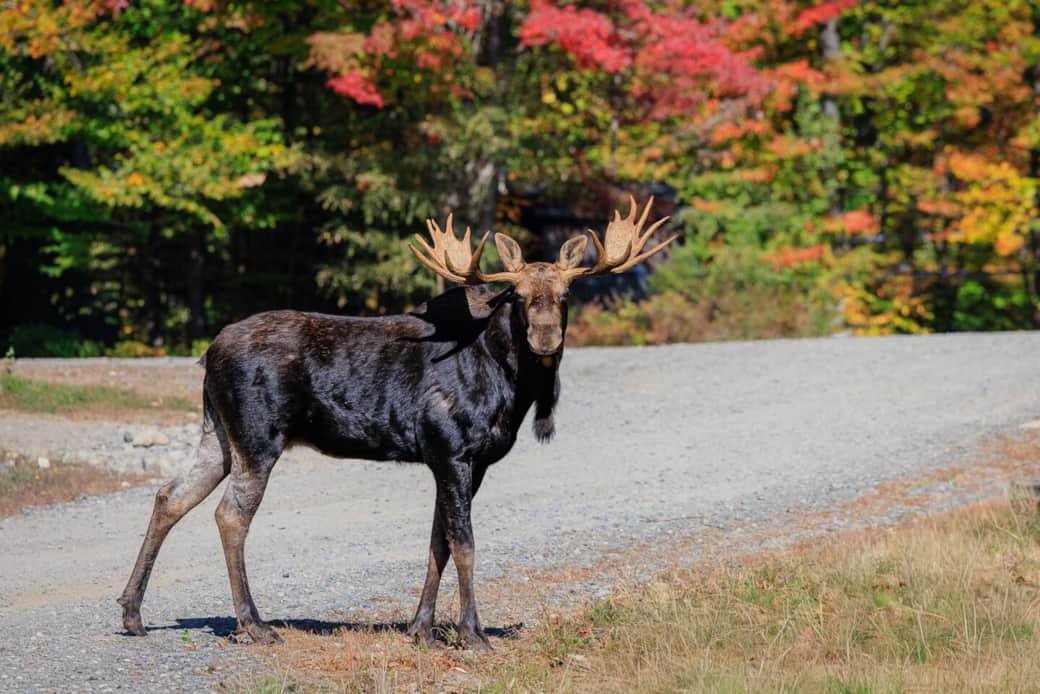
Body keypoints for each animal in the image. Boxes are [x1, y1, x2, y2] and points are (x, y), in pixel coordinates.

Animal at [118, 197, 675, 651]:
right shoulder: (451, 450)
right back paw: (252, 624)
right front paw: (472, 633)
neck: (508, 388)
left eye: (565, 295)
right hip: (258, 436)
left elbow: (437, 543)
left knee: (170, 496)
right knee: (230, 515)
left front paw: (422, 629)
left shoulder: (462, 461)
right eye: (516, 296)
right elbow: (464, 544)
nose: (544, 339)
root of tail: (208, 353)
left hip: (218, 433)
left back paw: (133, 613)